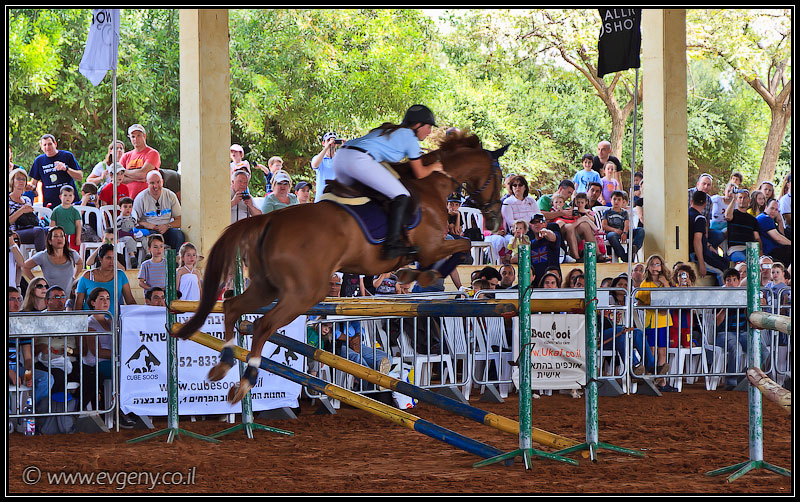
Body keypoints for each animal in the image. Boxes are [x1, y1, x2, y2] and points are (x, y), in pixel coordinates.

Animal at [172, 132, 504, 403]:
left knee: (232, 307)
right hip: (304, 293)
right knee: (263, 325)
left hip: (267, 287)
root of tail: (268, 220)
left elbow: (454, 249)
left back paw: (224, 364)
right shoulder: (432, 244)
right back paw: (246, 380)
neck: (431, 185)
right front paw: (422, 274)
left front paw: (415, 273)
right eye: (499, 176)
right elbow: (461, 246)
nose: (496, 218)